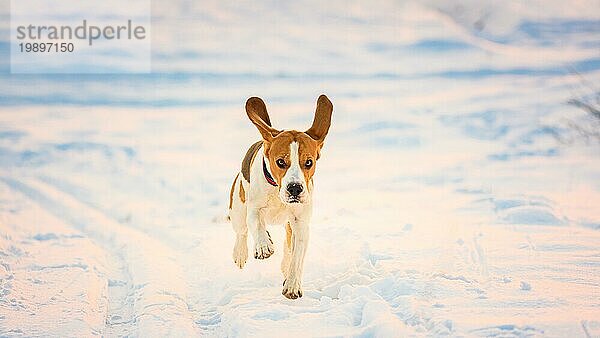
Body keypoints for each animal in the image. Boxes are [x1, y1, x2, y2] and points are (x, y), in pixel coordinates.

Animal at [229, 94, 332, 298]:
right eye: (280, 162)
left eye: (309, 162)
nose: (295, 189)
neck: (277, 193)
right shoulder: (253, 209)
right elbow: (257, 224)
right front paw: (263, 246)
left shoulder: (300, 224)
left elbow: (296, 257)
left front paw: (292, 284)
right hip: (238, 208)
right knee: (242, 231)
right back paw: (241, 253)